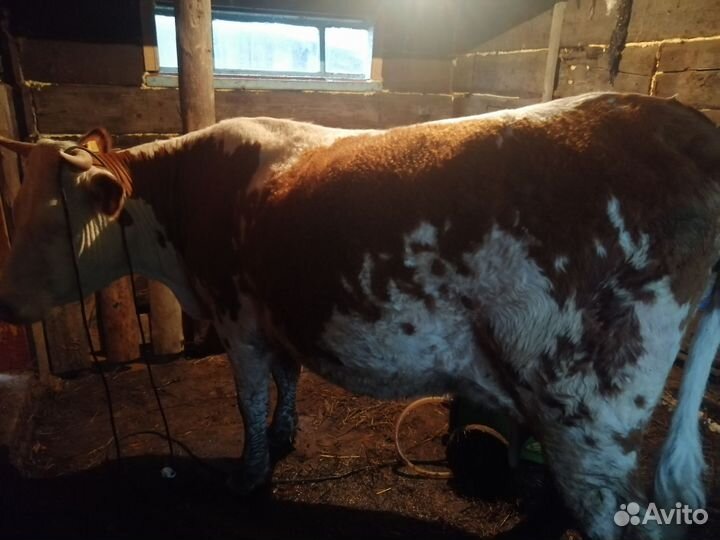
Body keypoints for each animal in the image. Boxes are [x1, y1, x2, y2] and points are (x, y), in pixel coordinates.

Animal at [0, 92, 718, 540]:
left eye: (50, 222)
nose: (8, 304)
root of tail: (686, 123)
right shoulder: (275, 314)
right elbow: (286, 380)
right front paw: (284, 435)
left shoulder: (237, 319)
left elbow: (248, 398)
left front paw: (249, 475)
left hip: (592, 410)